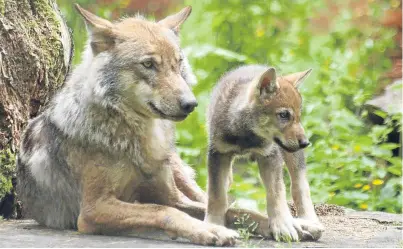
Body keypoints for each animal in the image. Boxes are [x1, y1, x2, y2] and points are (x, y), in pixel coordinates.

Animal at [16, 4, 272, 246]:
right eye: (148, 64)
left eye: (178, 63)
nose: (191, 104)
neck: (139, 140)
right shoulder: (93, 209)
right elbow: (164, 211)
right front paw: (212, 231)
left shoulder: (172, 197)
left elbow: (232, 210)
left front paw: (270, 224)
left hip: (181, 176)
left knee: (212, 197)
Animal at [205, 65, 326, 242]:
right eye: (284, 115)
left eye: (298, 116)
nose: (306, 143)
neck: (247, 137)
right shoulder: (218, 154)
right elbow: (216, 195)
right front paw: (214, 225)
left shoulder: (270, 156)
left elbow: (276, 193)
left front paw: (282, 225)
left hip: (291, 156)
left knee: (300, 186)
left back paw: (309, 221)